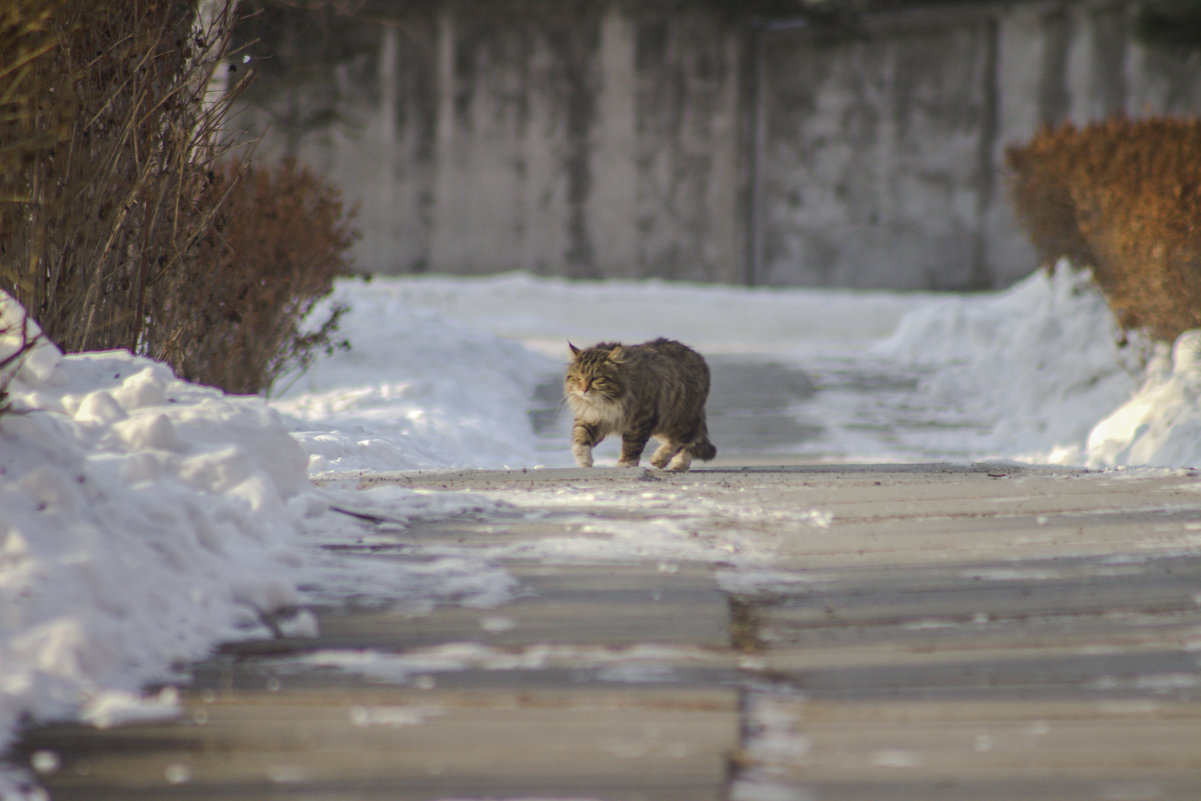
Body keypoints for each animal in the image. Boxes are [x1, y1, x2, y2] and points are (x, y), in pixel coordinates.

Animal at [559, 336, 710, 470]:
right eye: (578, 378)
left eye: (596, 378)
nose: (584, 390)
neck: (607, 402)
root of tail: (697, 356)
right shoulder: (592, 418)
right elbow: (580, 438)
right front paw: (583, 460)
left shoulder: (641, 420)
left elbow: (631, 446)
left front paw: (626, 464)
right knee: (683, 442)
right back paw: (677, 463)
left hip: (679, 415)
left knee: (684, 438)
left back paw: (662, 458)